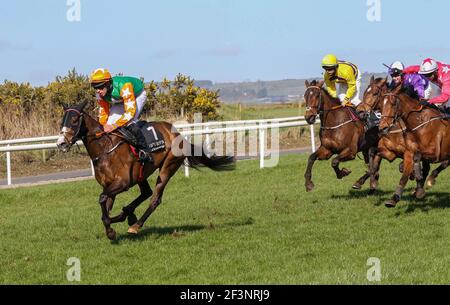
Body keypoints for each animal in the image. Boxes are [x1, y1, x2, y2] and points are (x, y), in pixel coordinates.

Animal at [56, 102, 236, 240]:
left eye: (74, 120)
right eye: (62, 121)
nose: (61, 143)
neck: (105, 148)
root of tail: (178, 133)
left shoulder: (123, 183)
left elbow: (102, 200)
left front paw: (112, 231)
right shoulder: (109, 186)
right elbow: (104, 207)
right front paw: (113, 226)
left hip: (167, 167)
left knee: (155, 198)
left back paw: (135, 225)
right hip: (140, 175)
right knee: (146, 192)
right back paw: (128, 214)